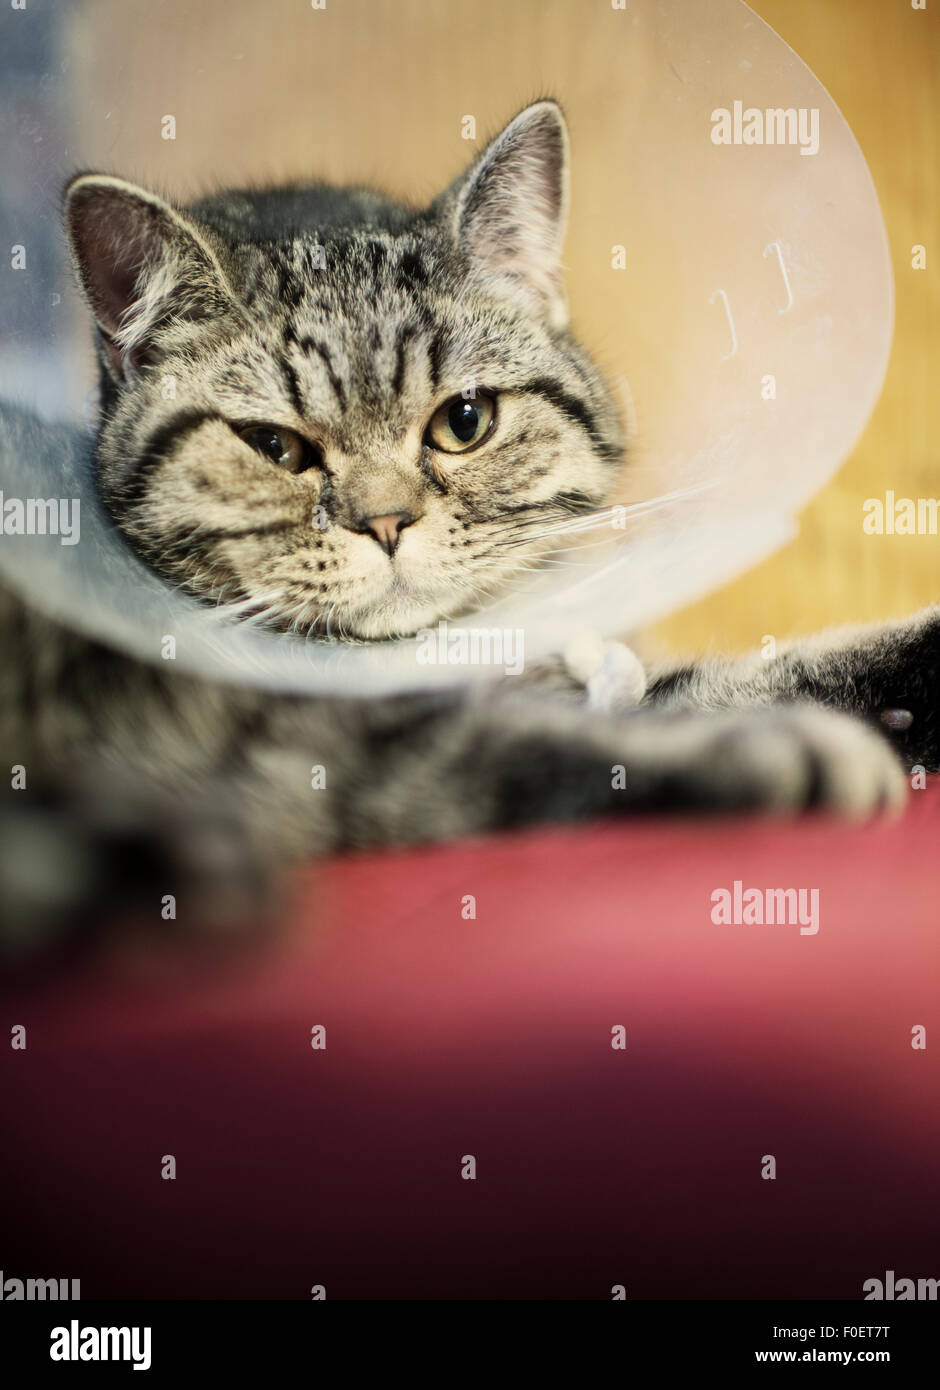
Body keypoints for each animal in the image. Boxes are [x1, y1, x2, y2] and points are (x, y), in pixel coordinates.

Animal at [1, 95, 939, 945]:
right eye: (276, 447)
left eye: (464, 421)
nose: (385, 523)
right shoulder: (329, 748)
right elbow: (566, 748)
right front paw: (773, 750)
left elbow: (747, 673)